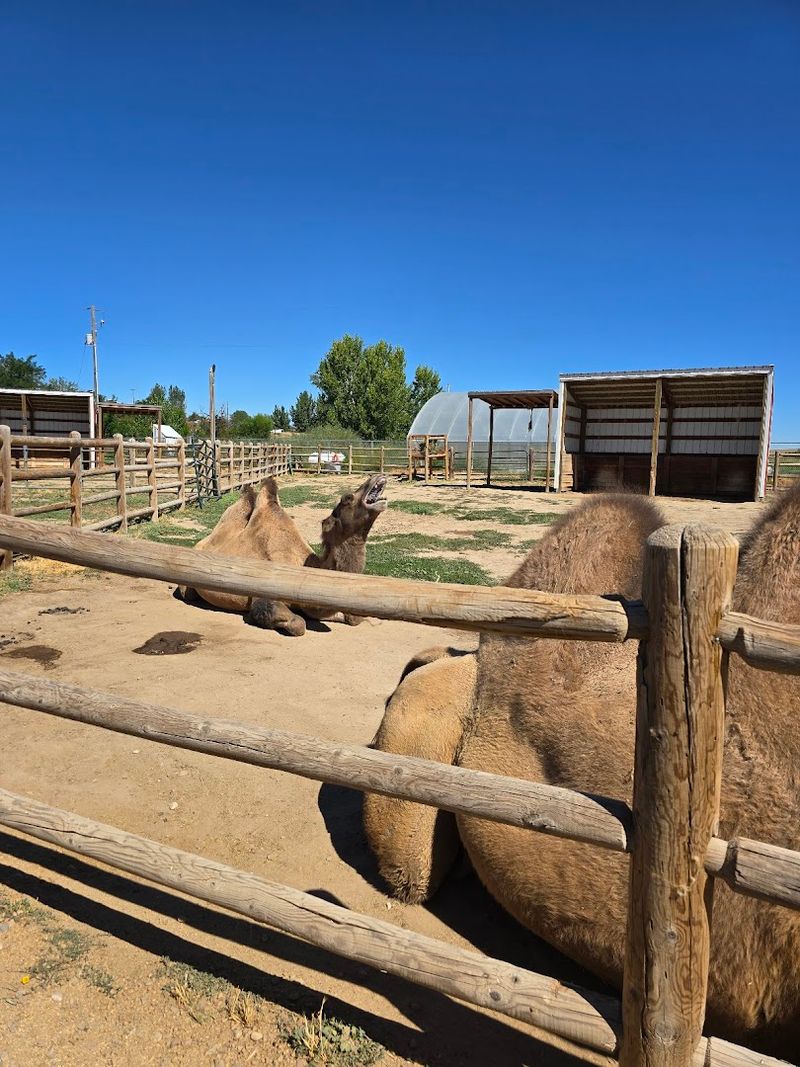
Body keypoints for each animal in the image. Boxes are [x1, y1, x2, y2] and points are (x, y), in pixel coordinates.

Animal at [179, 474, 387, 635]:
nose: (376, 477)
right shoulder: (262, 593)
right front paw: (253, 618)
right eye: (347, 498)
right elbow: (298, 624)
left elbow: (354, 618)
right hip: (186, 585)